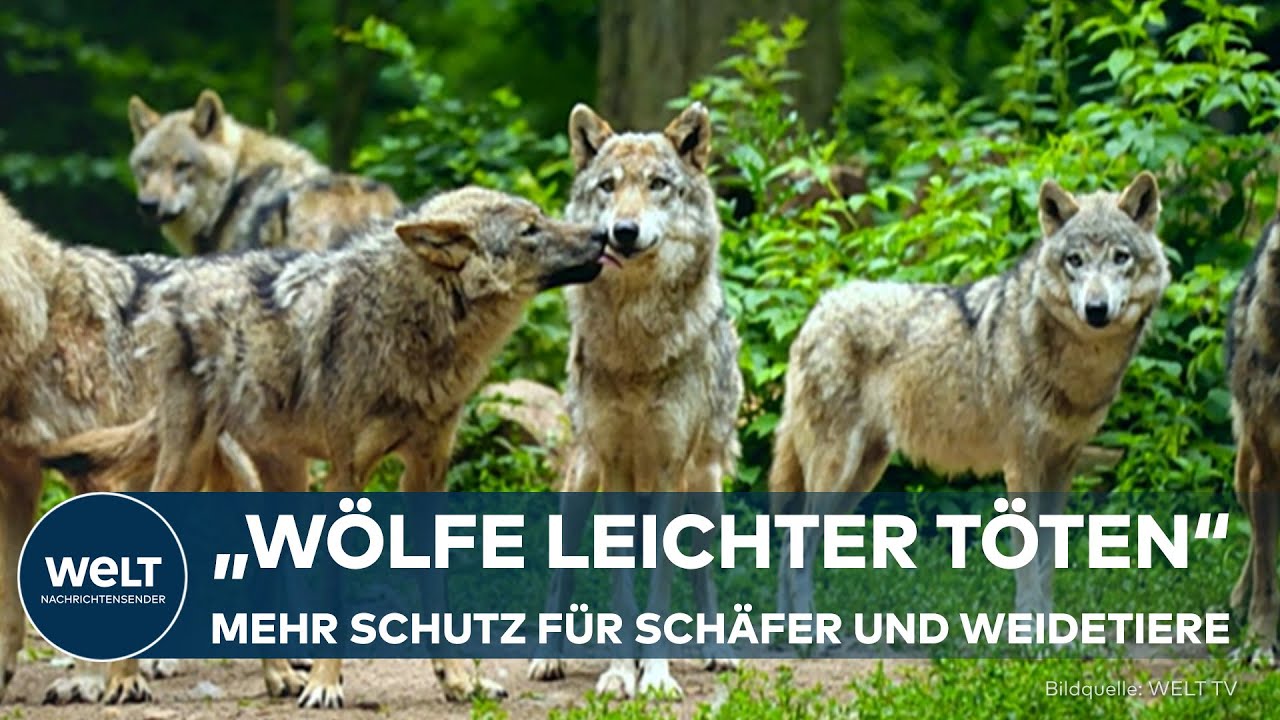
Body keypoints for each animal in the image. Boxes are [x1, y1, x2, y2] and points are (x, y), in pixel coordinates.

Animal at [42, 186, 608, 708]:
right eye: (530, 230)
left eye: (543, 217)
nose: (602, 236)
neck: (414, 326)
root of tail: (180, 283)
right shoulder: (346, 475)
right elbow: (335, 596)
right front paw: (325, 686)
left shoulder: (426, 475)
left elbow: (438, 595)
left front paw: (460, 681)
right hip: (187, 473)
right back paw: (123, 680)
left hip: (274, 485)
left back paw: (279, 677)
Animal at [525, 103, 743, 699]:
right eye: (609, 186)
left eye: (657, 185)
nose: (622, 231)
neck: (636, 346)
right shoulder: (614, 466)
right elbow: (622, 588)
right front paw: (621, 675)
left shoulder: (670, 468)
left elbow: (663, 586)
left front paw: (657, 679)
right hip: (580, 482)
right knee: (561, 573)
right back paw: (548, 659)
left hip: (705, 490)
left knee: (701, 573)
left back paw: (717, 652)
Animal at [771, 172, 1169, 619]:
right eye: (1075, 260)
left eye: (1120, 257)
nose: (1096, 309)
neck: (1075, 366)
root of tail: (818, 309)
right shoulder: (1022, 465)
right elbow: (1028, 564)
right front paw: (1028, 628)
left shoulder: (1062, 463)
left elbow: (1048, 562)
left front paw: (1051, 626)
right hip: (838, 469)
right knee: (796, 551)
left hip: (862, 475)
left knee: (789, 548)